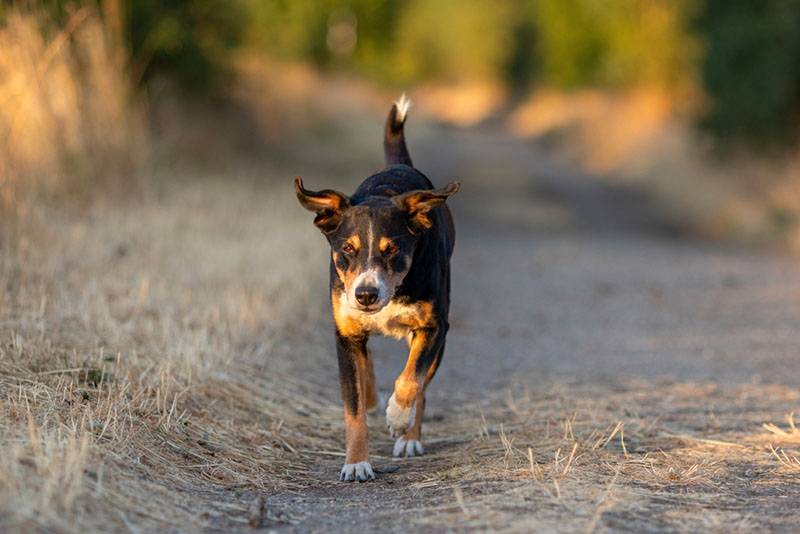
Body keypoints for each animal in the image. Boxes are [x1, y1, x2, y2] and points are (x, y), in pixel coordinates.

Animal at [292, 97, 456, 486]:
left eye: (392, 249)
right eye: (347, 249)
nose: (365, 295)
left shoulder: (434, 327)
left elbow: (411, 380)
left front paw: (397, 417)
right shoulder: (343, 332)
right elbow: (353, 407)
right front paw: (356, 463)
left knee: (422, 386)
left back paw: (409, 437)